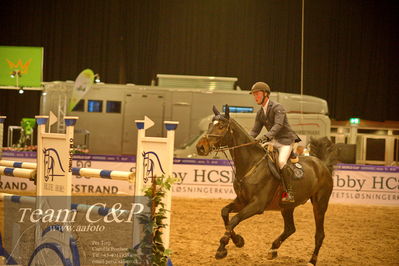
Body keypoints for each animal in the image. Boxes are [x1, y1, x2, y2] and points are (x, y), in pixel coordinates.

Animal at [197, 106, 338, 266]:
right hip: (287, 207)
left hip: (320, 204)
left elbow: (234, 220)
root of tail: (322, 165)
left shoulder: (257, 205)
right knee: (290, 228)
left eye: (221, 126)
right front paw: (238, 241)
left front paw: (222, 249)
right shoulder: (242, 201)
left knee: (319, 234)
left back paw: (312, 261)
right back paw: (273, 249)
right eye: (210, 125)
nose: (200, 147)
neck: (251, 164)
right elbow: (225, 214)